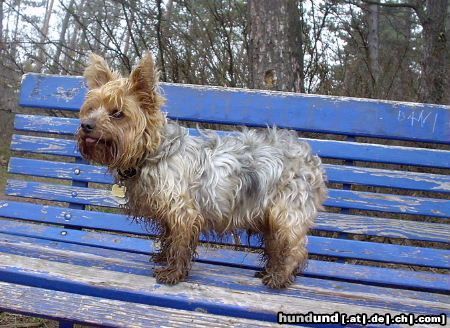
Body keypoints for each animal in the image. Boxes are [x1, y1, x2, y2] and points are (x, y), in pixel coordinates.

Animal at [77, 53, 326, 288]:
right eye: (91, 108)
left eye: (117, 113)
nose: (86, 125)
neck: (154, 154)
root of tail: (311, 160)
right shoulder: (168, 217)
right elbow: (168, 238)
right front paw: (163, 257)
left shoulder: (182, 212)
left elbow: (179, 244)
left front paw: (173, 273)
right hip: (268, 217)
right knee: (275, 245)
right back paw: (269, 270)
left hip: (285, 213)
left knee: (294, 248)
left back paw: (279, 278)